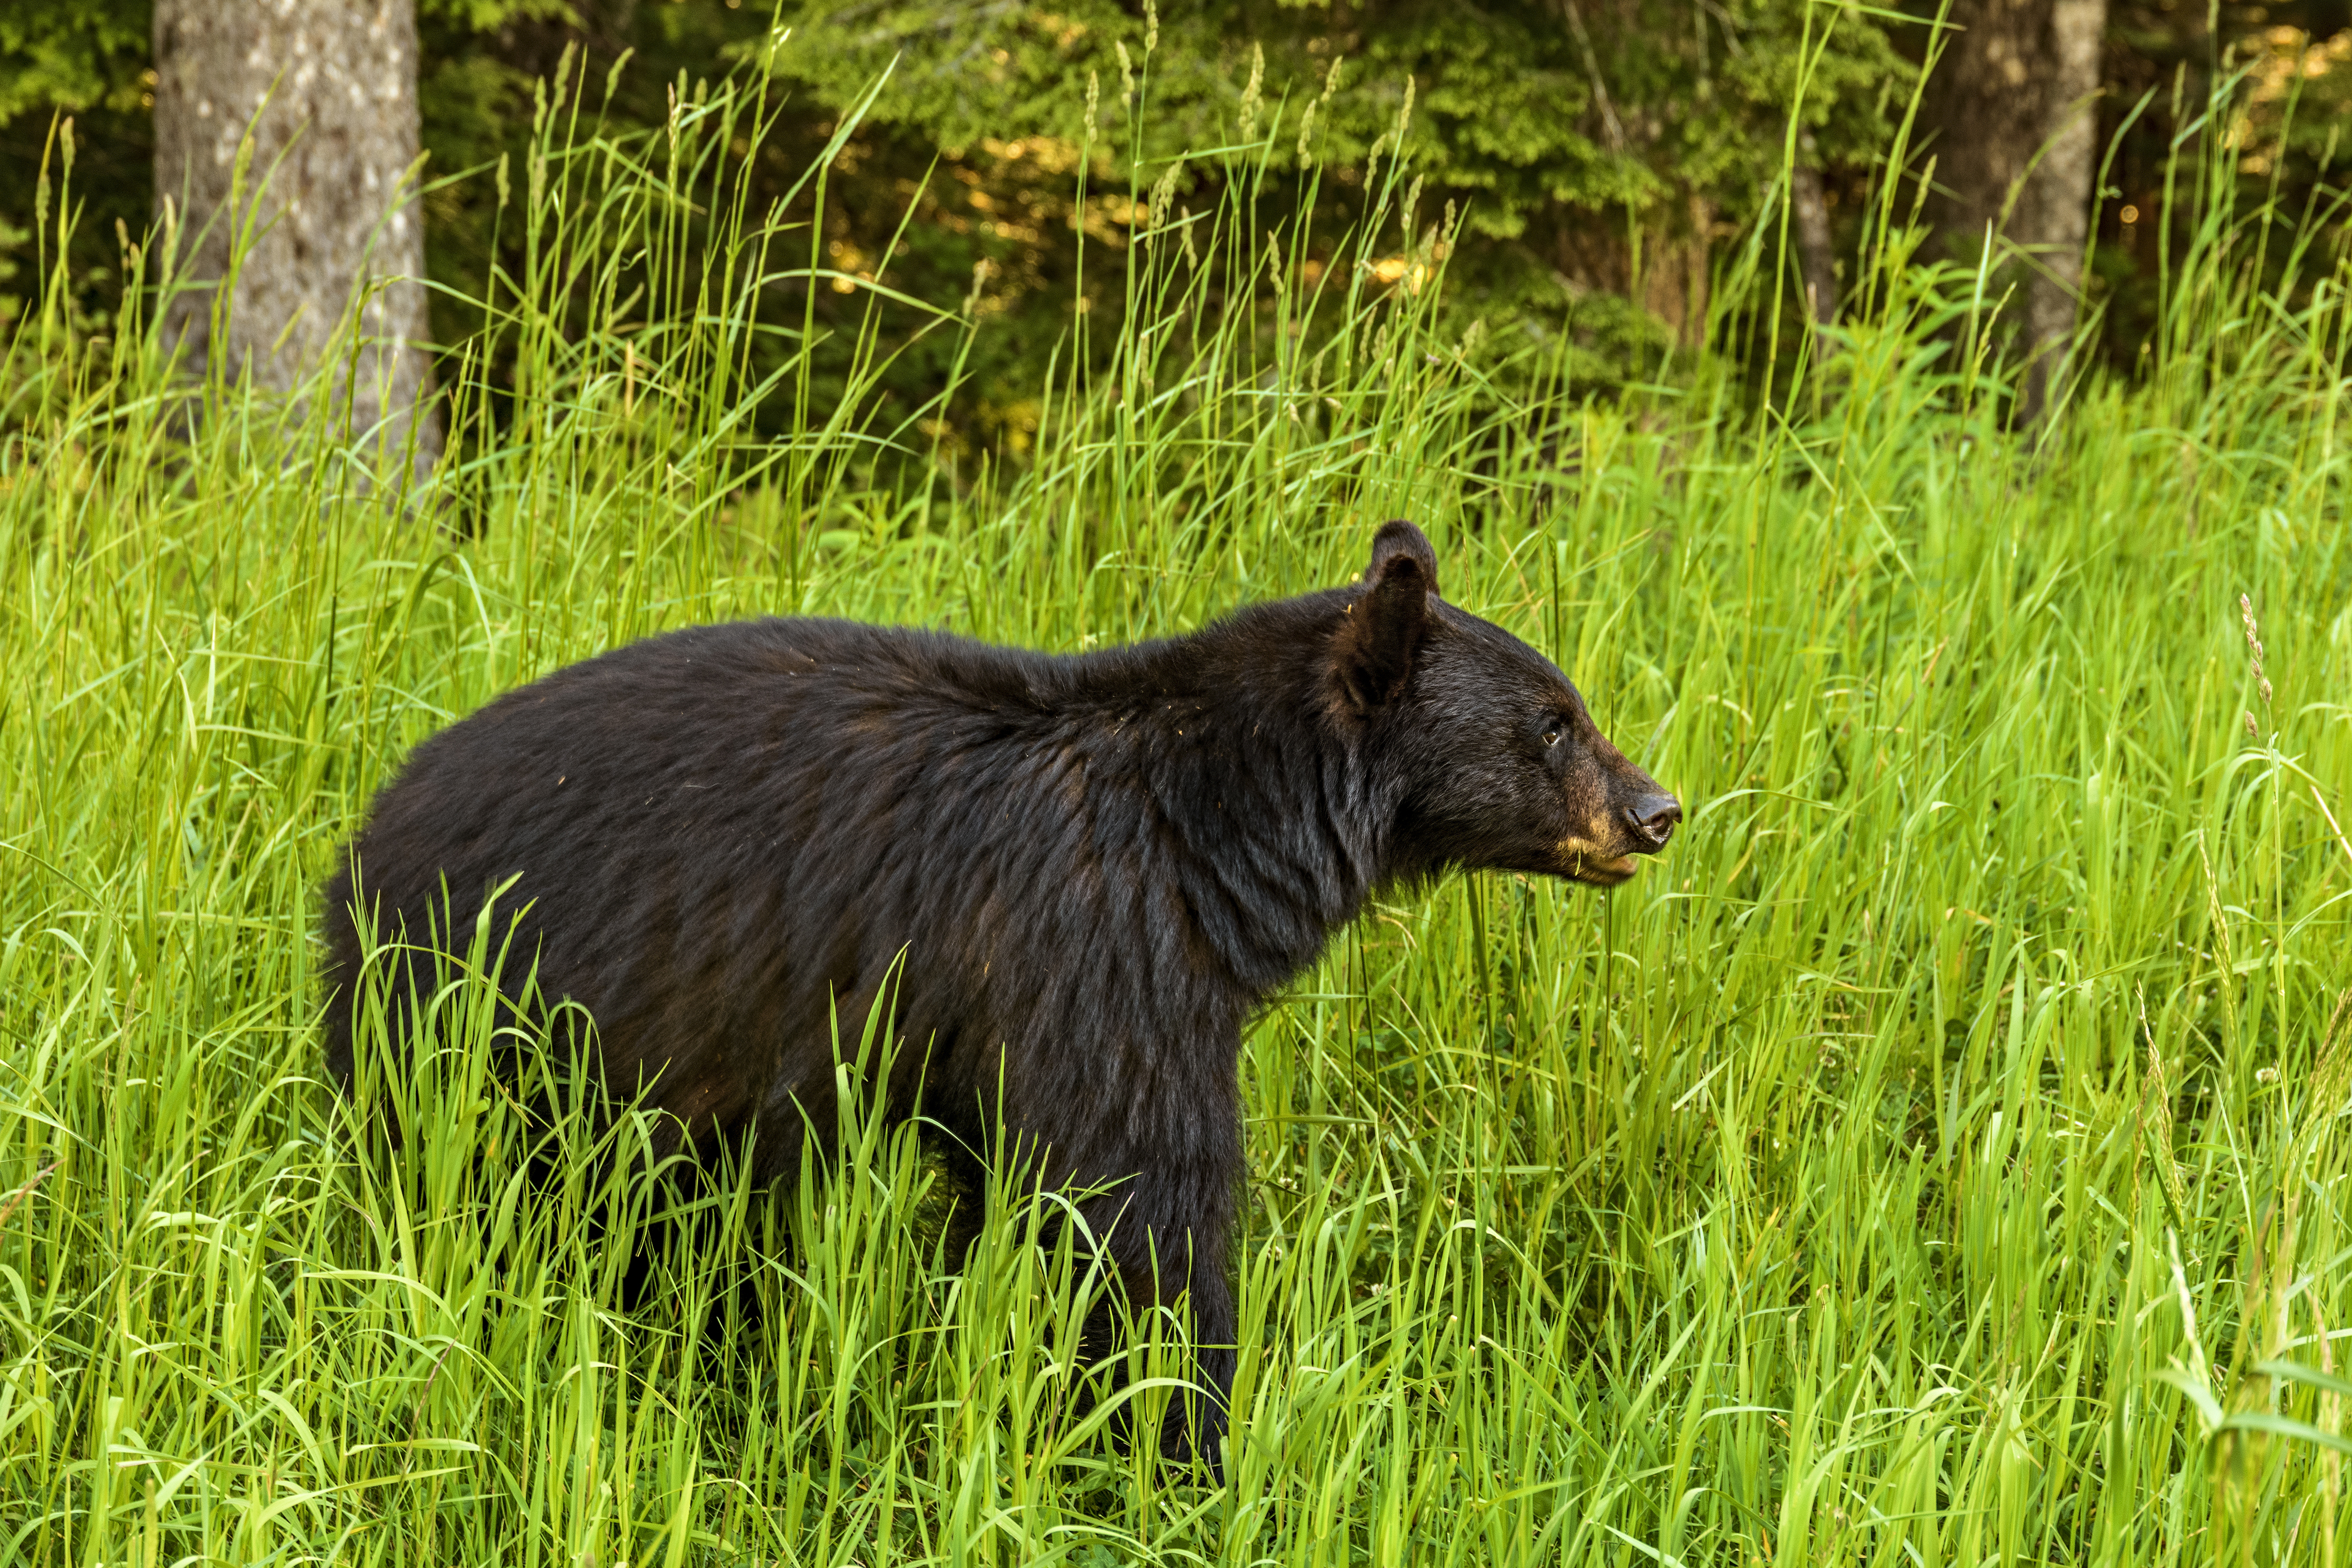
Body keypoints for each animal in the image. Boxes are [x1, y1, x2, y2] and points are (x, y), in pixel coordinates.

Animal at [320, 519, 1680, 1474]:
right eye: (1553, 724)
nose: (1657, 810)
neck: (1208, 833)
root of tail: (363, 841)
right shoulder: (1103, 953)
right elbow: (1141, 1221)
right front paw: (1183, 1449)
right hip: (490, 1015)